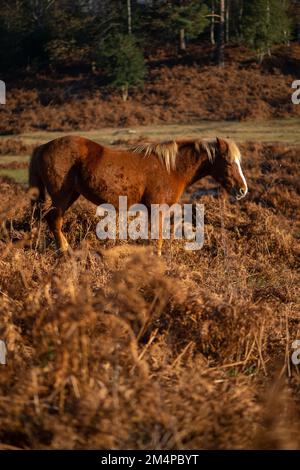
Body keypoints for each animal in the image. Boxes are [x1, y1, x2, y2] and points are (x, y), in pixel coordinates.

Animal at [29, 134, 247, 255]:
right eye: (229, 162)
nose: (242, 190)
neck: (172, 168)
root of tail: (43, 147)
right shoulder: (158, 209)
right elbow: (157, 239)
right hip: (61, 196)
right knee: (54, 220)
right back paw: (64, 251)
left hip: (71, 195)